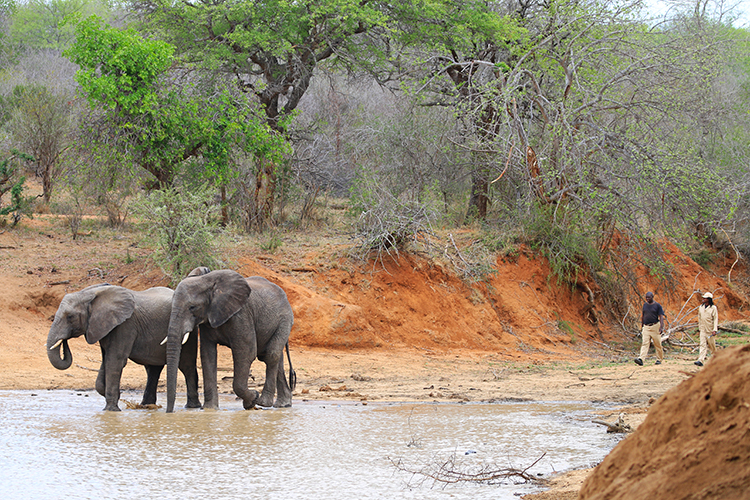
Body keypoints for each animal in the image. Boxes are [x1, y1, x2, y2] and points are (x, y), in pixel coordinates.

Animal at [47, 284, 203, 412]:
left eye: (70, 317)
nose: (64, 341)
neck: (91, 294)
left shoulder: (125, 325)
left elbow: (115, 361)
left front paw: (111, 409)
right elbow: (106, 361)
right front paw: (115, 396)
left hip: (189, 332)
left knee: (186, 367)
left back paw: (192, 407)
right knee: (153, 369)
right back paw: (147, 406)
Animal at [164, 272, 296, 412]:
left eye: (192, 307)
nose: (169, 412)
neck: (207, 281)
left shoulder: (241, 315)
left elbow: (246, 353)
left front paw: (252, 399)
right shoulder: (208, 320)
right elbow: (207, 356)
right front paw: (210, 409)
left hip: (285, 319)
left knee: (271, 355)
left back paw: (264, 402)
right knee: (276, 359)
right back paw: (283, 404)